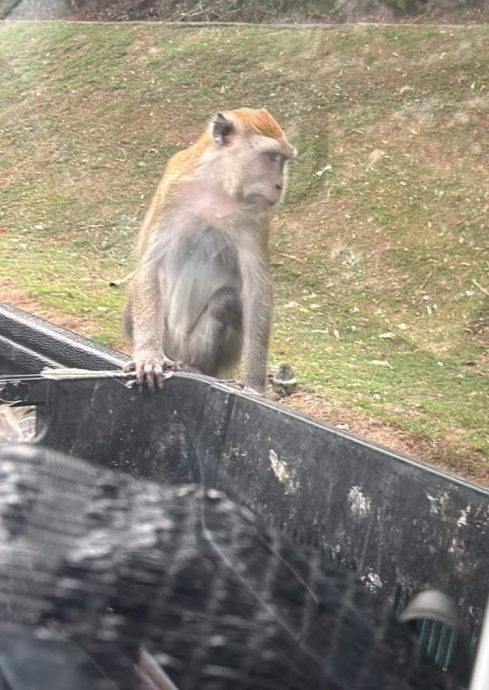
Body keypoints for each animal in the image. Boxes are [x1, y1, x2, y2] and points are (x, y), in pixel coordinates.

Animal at [124, 105, 296, 390]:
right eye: (272, 157)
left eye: (283, 159)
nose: (280, 186)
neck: (218, 187)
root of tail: (177, 351)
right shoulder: (174, 192)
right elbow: (149, 264)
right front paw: (148, 355)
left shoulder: (255, 217)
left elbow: (257, 287)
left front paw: (254, 385)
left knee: (226, 302)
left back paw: (194, 367)